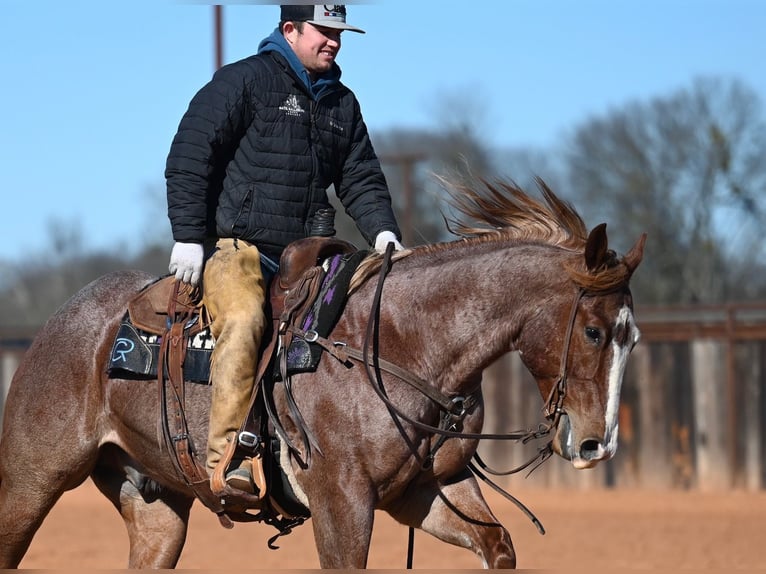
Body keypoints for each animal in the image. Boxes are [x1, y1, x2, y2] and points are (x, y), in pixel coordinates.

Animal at [0, 177, 646, 569]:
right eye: (593, 331)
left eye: (631, 337)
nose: (598, 444)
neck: (400, 343)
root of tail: (63, 322)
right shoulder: (342, 502)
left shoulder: (426, 491)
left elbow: (498, 544)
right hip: (31, 481)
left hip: (157, 510)